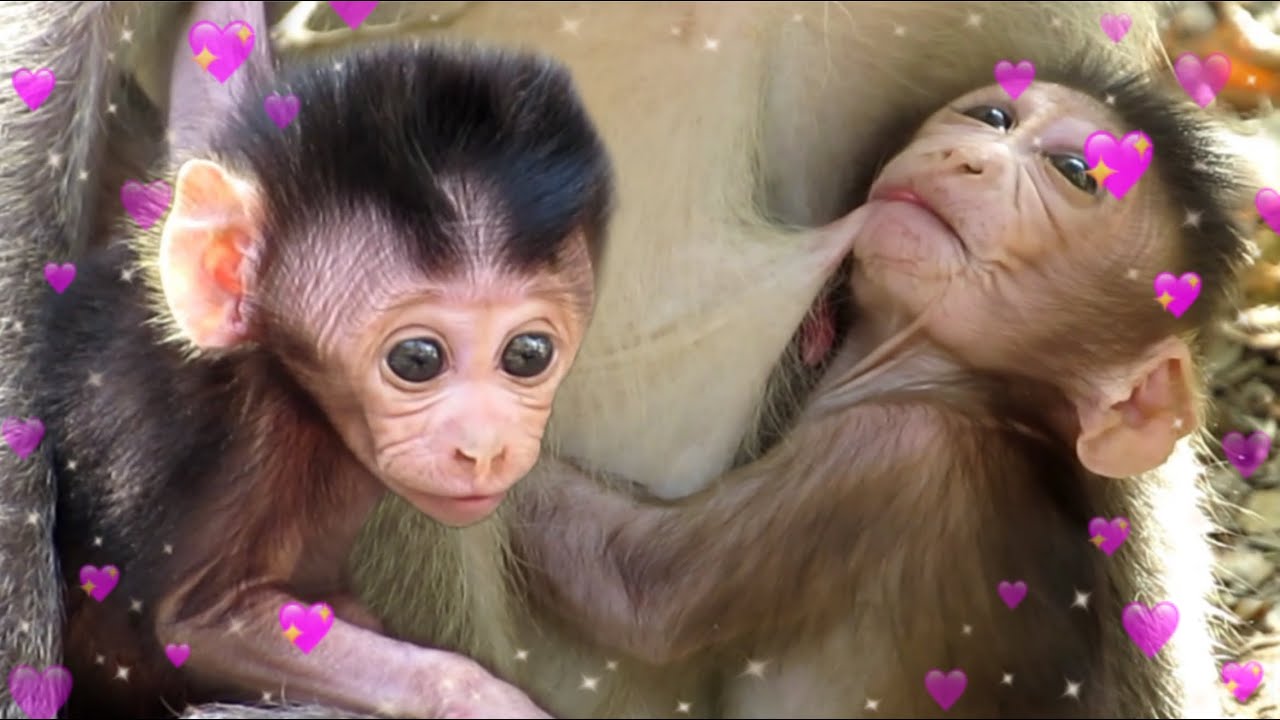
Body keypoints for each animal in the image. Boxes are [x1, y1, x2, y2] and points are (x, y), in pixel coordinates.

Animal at [26, 1, 613, 718]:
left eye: (528, 354)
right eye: (417, 359)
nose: (485, 448)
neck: (291, 387)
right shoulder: (227, 441)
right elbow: (201, 620)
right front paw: (481, 697)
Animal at [508, 61, 1259, 718]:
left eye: (1074, 172)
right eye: (992, 116)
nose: (968, 157)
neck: (962, 387)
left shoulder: (889, 451)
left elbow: (636, 586)